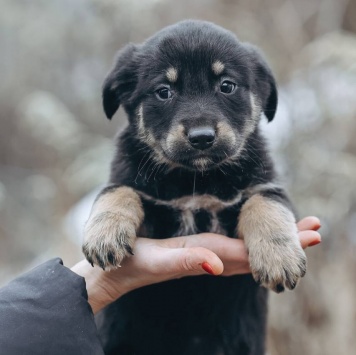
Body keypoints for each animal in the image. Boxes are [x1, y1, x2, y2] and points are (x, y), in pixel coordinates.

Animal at [82, 20, 306, 354]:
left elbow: (264, 202)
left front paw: (279, 257)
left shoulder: (265, 185)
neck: (195, 179)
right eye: (164, 91)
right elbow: (118, 191)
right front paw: (105, 235)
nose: (202, 138)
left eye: (227, 85)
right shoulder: (140, 197)